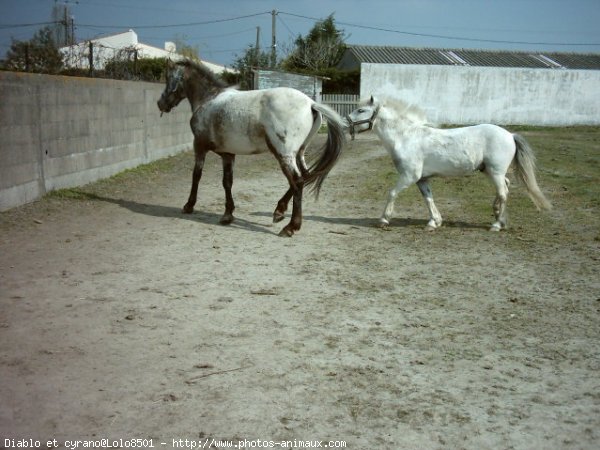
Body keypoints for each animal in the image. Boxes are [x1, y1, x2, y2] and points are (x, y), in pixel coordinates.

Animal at [346, 96, 552, 230]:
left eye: (361, 110)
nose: (345, 123)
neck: (406, 138)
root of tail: (510, 135)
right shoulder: (422, 179)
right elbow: (428, 199)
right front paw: (434, 222)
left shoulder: (408, 176)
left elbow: (392, 193)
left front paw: (384, 220)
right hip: (490, 171)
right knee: (506, 188)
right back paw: (498, 216)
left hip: (495, 172)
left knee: (503, 192)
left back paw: (496, 224)